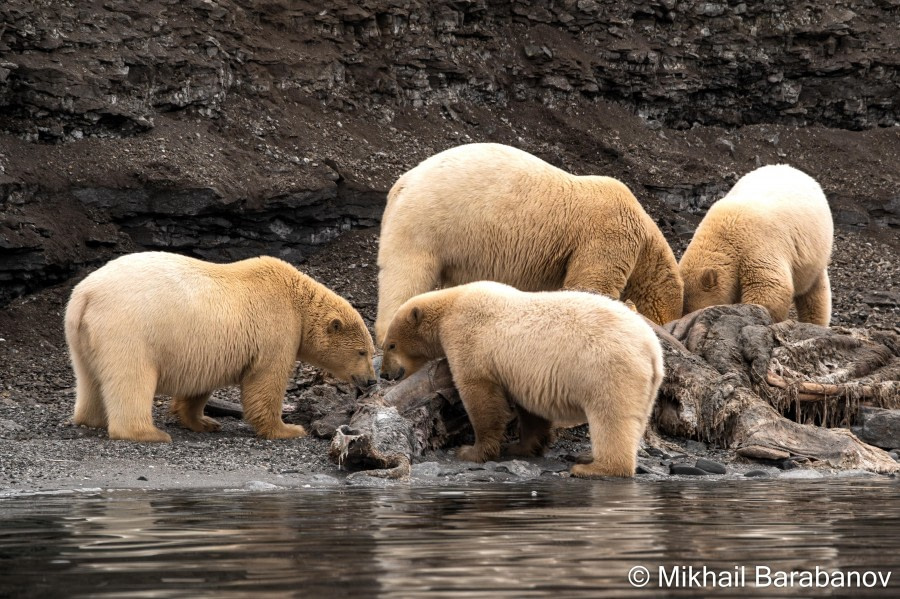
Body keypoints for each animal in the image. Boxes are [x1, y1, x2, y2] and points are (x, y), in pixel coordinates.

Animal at [62, 251, 372, 442]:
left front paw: (205, 422)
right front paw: (288, 428)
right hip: (128, 329)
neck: (297, 301)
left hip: (80, 335)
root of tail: (86, 295)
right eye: (362, 352)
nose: (371, 380)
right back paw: (148, 433)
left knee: (88, 377)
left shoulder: (207, 350)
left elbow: (198, 386)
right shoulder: (277, 327)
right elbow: (266, 380)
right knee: (132, 378)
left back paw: (92, 419)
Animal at [378, 282, 660, 478]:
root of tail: (652, 348)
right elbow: (530, 409)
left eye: (391, 345)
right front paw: (523, 447)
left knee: (610, 417)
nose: (383, 373)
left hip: (607, 368)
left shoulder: (467, 336)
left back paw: (593, 467)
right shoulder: (525, 374)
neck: (452, 305)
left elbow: (480, 394)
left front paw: (472, 451)